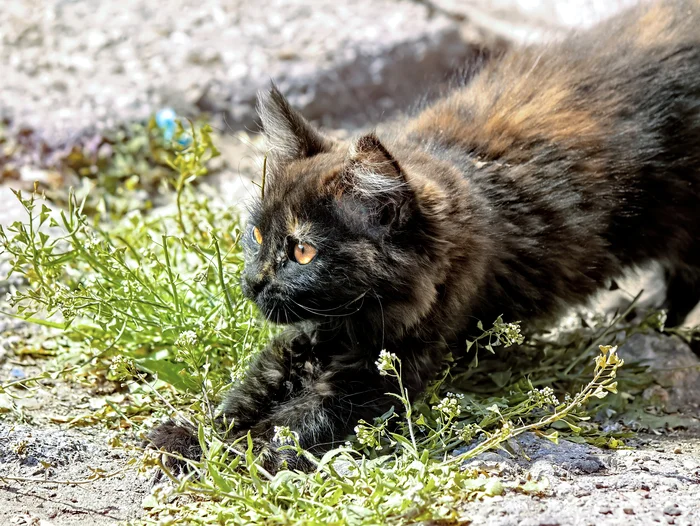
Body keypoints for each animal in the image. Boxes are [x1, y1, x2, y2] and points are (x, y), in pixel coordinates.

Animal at [149, 0, 700, 476]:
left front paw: (241, 453)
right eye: (258, 233)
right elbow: (249, 391)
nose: (253, 283)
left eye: (303, 251)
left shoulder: (384, 370)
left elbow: (301, 420)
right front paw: (195, 435)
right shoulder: (305, 341)